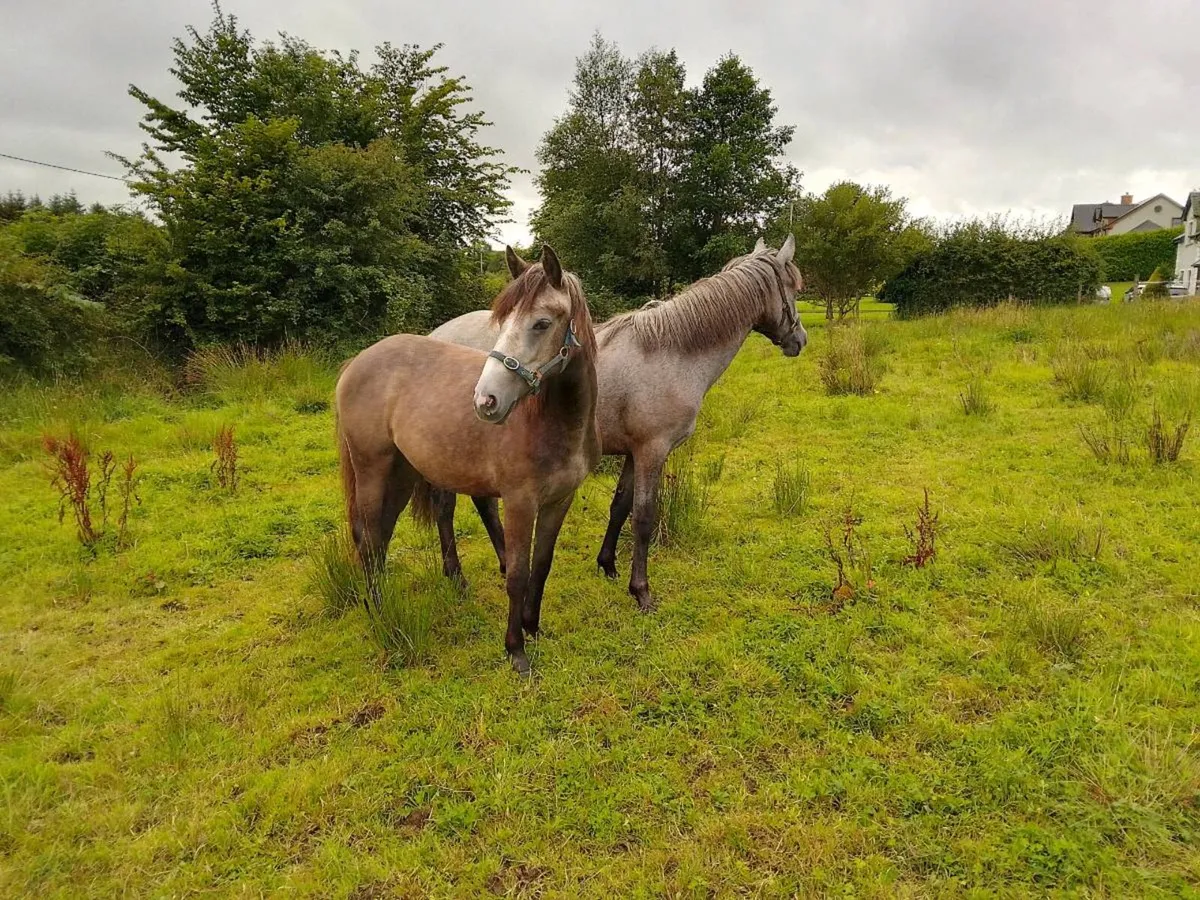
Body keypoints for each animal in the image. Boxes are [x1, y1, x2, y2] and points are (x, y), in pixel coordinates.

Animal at [335, 245, 600, 674]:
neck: (553, 423)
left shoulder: (560, 500)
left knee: (382, 533)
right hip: (372, 469)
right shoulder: (520, 502)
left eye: (542, 323)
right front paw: (516, 649)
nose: (486, 401)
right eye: (502, 321)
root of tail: (356, 362)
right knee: (370, 536)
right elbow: (518, 573)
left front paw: (533, 627)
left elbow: (542, 565)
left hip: (403, 473)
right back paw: (379, 610)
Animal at [416, 235, 806, 610]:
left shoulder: (634, 453)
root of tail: (435, 337)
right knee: (445, 508)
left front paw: (608, 565)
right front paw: (641, 591)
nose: (799, 339)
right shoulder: (653, 451)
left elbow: (620, 506)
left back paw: (501, 563)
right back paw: (457, 576)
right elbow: (644, 517)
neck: (672, 353)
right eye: (794, 288)